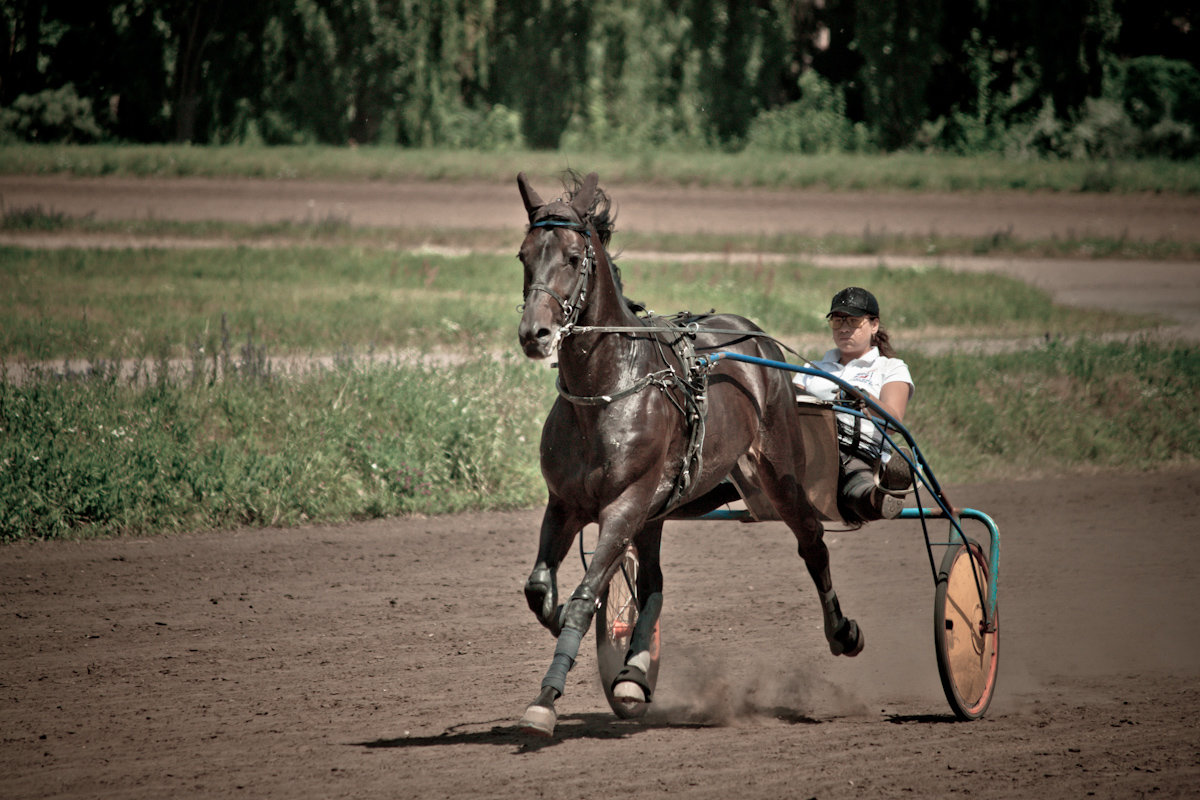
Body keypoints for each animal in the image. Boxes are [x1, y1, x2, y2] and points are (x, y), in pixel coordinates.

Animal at [516, 172, 864, 734]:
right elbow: (541, 590)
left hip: (780, 470)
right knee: (654, 584)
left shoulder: (625, 504)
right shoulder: (565, 503)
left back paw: (843, 632)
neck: (607, 389)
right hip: (659, 507)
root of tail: (755, 336)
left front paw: (546, 699)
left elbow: (584, 598)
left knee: (812, 540)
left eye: (571, 256)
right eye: (524, 255)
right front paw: (581, 641)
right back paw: (634, 676)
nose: (535, 333)